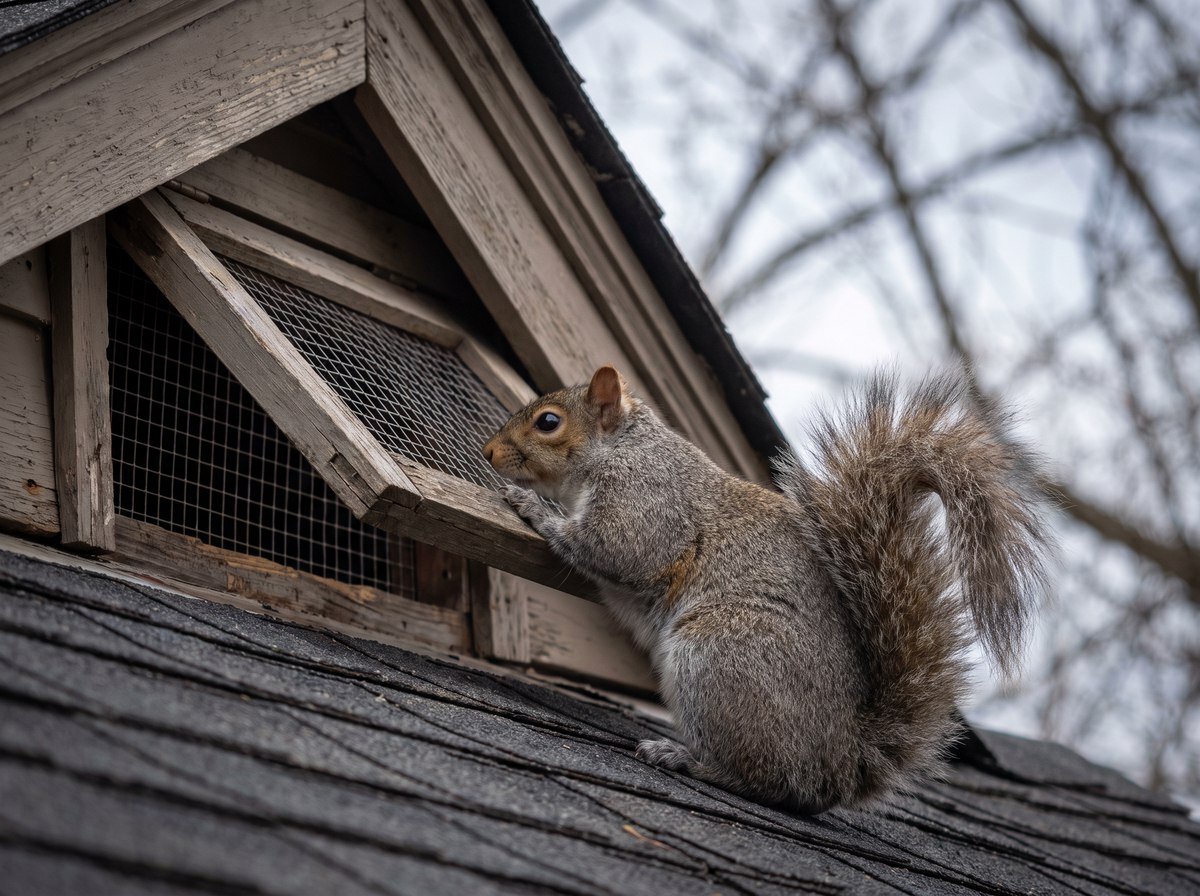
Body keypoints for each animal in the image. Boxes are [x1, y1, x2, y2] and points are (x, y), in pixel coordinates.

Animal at [482, 365, 1052, 813]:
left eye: (548, 422)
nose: (488, 452)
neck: (622, 447)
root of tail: (841, 762)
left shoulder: (647, 500)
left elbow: (616, 549)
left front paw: (534, 508)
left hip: (718, 657)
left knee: (770, 782)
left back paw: (686, 758)